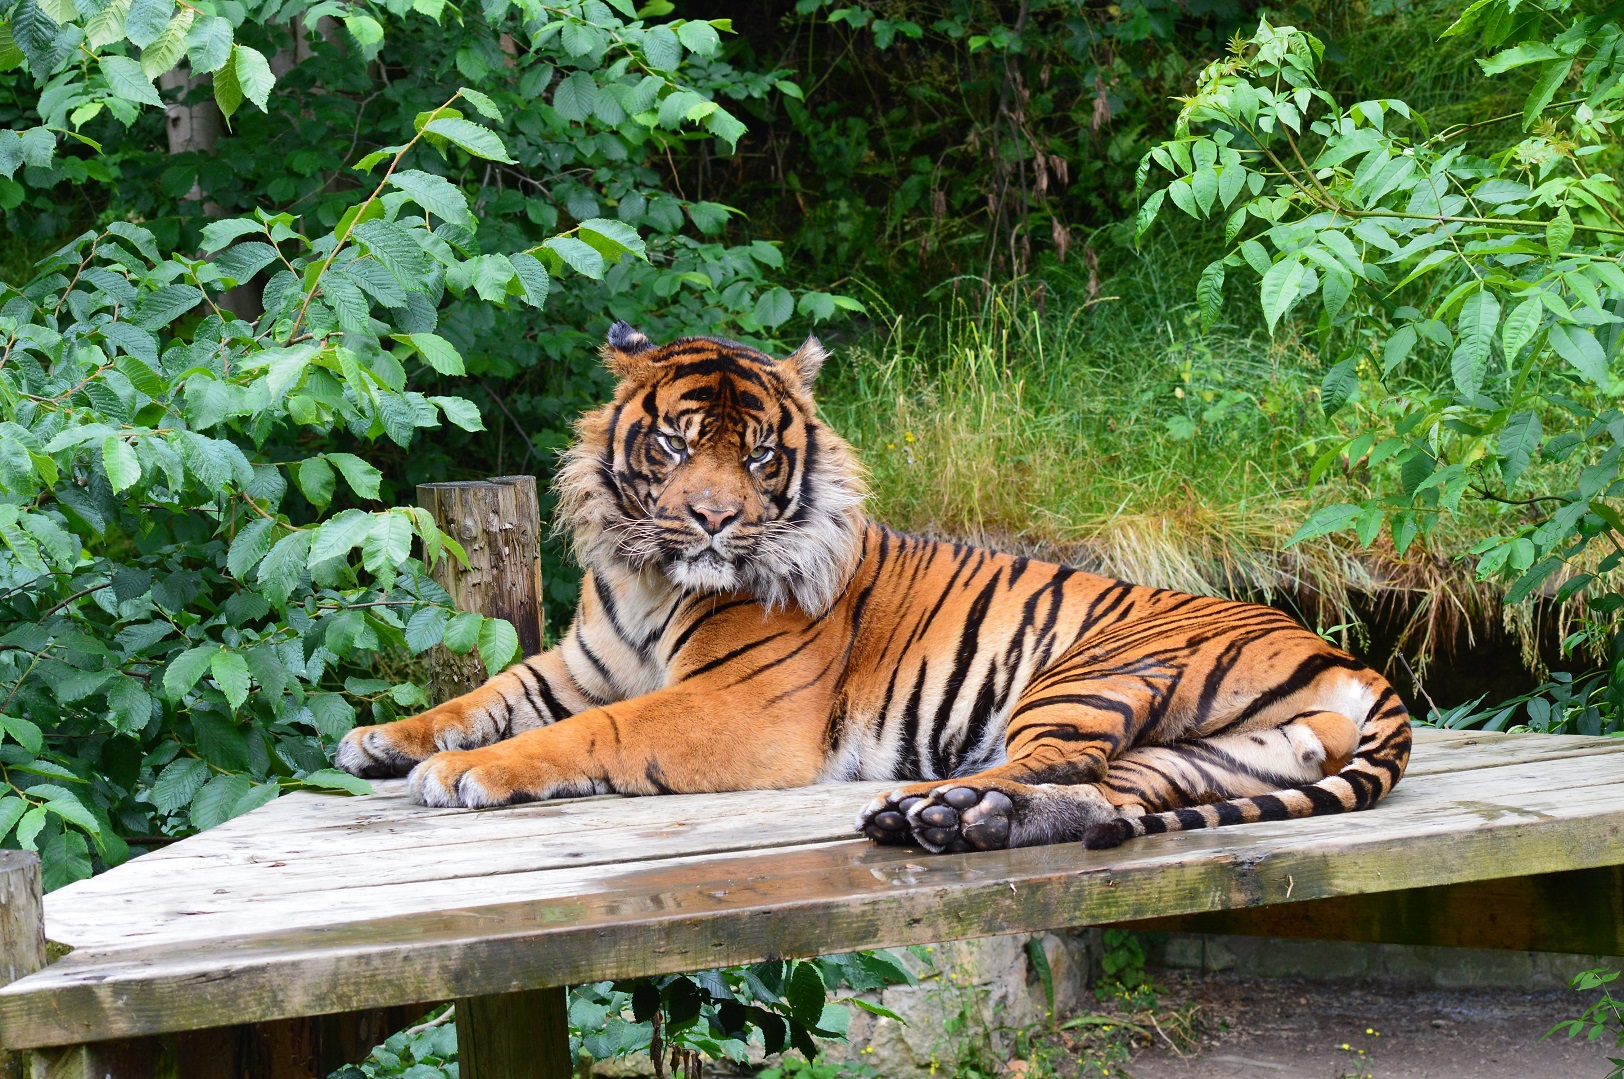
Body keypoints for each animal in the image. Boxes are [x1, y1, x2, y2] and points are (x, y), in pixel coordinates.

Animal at [336, 322, 1411, 853]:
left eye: (759, 453)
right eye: (676, 444)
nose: (713, 518)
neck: (648, 578)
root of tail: (1344, 656)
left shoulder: (738, 706)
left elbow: (588, 733)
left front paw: (467, 773)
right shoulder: (581, 662)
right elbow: (487, 694)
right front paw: (383, 739)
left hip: (1088, 671)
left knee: (1054, 764)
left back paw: (928, 805)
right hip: (1205, 756)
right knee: (1097, 792)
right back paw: (955, 819)